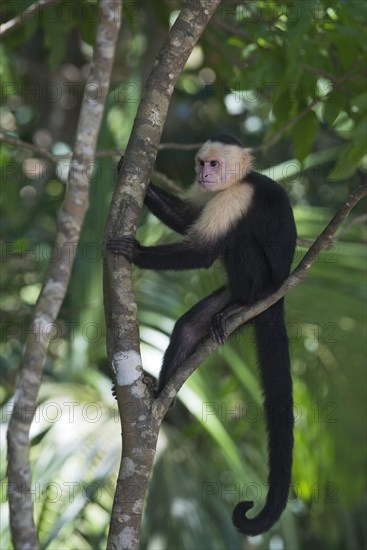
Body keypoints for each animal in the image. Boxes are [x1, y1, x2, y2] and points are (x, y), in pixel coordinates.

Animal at [108, 135, 298, 540]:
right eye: (201, 163)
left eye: (214, 164)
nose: (204, 175)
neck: (237, 181)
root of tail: (277, 295)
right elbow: (185, 219)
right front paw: (126, 169)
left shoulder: (236, 197)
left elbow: (202, 251)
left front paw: (135, 251)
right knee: (189, 327)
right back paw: (159, 395)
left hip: (262, 287)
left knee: (240, 241)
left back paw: (243, 301)